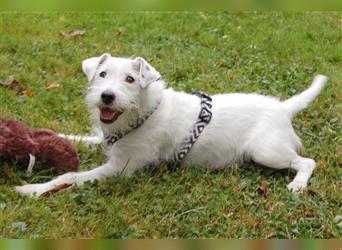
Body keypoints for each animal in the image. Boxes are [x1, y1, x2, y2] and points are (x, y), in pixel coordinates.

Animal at [14, 53, 328, 196]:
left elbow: (71, 177)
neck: (142, 113)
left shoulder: (120, 168)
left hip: (266, 151)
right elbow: (77, 137)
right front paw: (50, 135)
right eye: (102, 74)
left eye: (130, 79)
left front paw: (33, 189)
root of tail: (282, 107)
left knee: (307, 162)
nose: (107, 96)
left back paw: (298, 184)